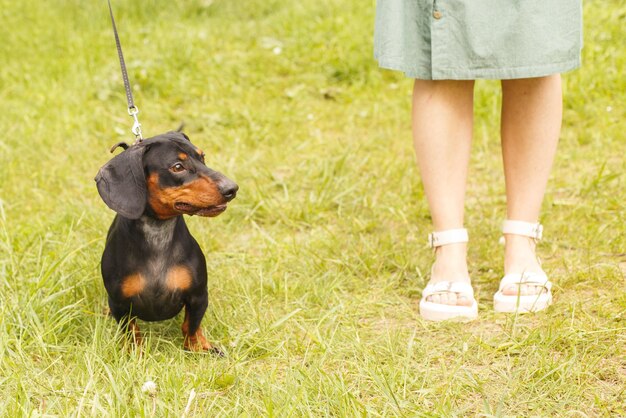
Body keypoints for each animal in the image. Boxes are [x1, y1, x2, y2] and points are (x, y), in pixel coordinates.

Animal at [94, 131, 236, 352]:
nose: (232, 189)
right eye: (177, 167)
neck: (157, 235)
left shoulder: (198, 296)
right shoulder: (120, 304)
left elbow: (191, 325)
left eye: (203, 157)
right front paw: (135, 352)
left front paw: (198, 347)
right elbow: (132, 331)